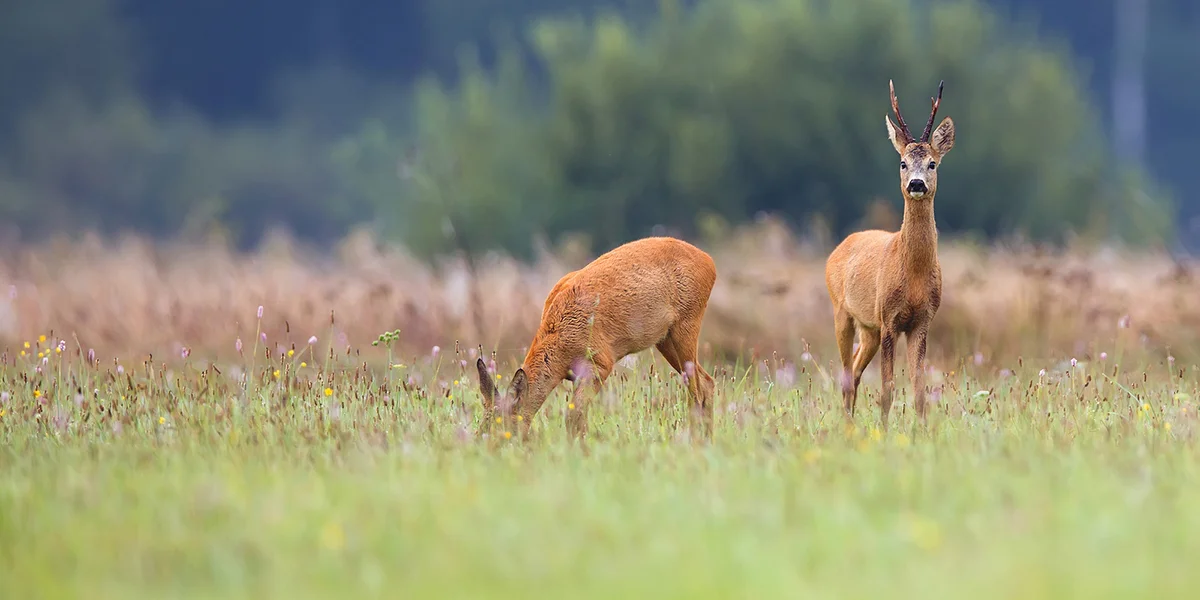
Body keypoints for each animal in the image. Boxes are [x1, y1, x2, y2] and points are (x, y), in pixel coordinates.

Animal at [468, 236, 715, 439]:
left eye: (502, 430)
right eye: (480, 429)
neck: (559, 343)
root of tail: (710, 262)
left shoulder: (600, 362)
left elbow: (573, 418)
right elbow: (579, 418)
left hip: (688, 322)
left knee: (698, 389)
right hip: (665, 338)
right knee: (707, 382)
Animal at [825, 79, 955, 429]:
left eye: (932, 163)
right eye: (902, 163)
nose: (916, 184)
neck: (913, 274)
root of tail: (841, 246)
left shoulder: (922, 321)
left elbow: (920, 389)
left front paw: (922, 432)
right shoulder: (890, 319)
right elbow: (887, 389)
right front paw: (883, 433)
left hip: (869, 328)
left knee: (855, 372)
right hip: (842, 312)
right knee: (845, 375)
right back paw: (847, 427)